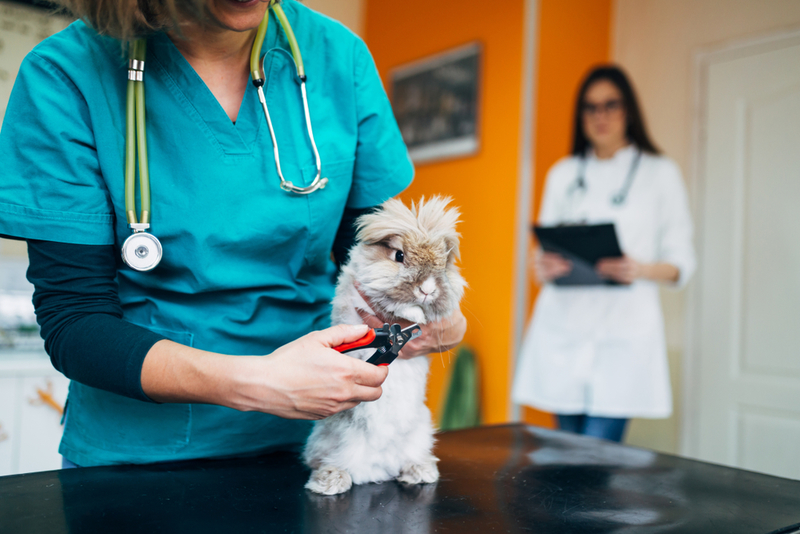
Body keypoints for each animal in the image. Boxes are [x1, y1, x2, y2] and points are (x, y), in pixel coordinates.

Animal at [306, 197, 468, 498]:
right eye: (399, 256)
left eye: (443, 264)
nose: (427, 289)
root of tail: (378, 469)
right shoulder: (362, 296)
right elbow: (392, 303)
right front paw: (414, 312)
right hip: (330, 440)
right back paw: (331, 481)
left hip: (420, 433)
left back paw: (420, 471)